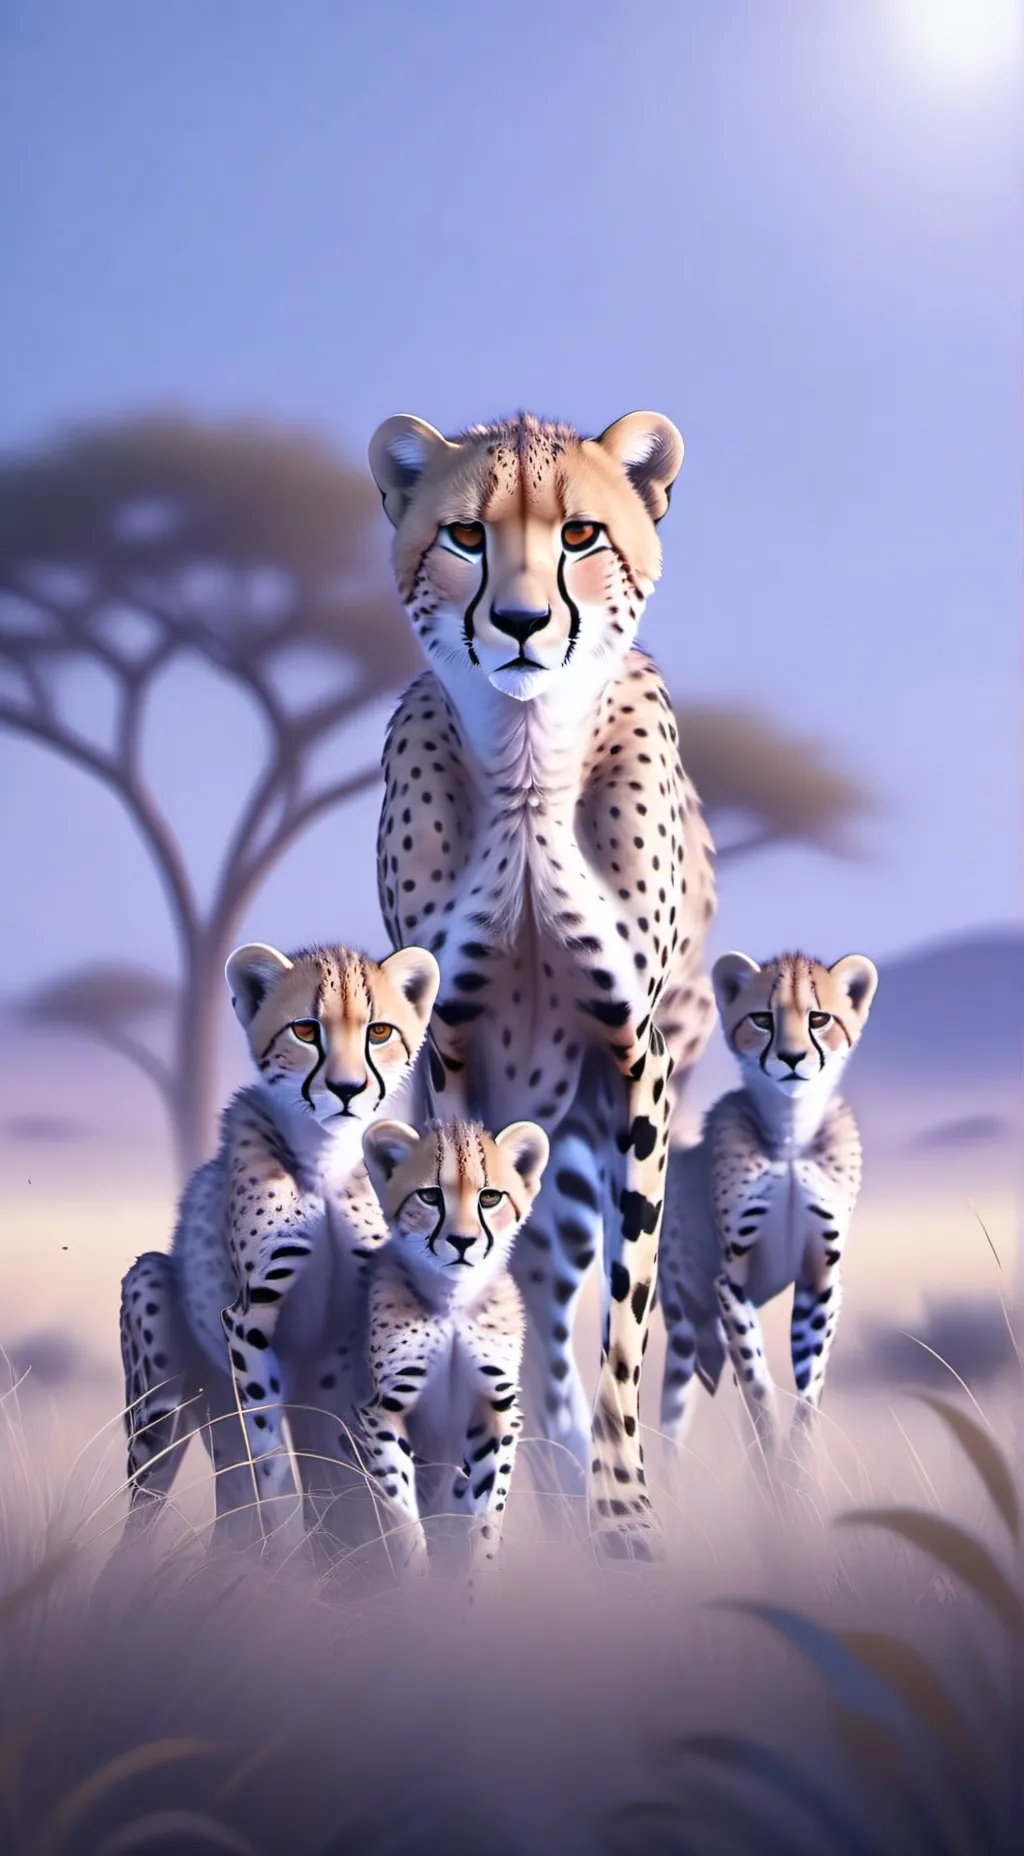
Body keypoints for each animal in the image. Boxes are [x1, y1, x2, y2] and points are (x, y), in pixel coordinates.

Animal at [118, 938, 439, 1559]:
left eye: (380, 1032)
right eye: (306, 1030)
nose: (347, 1090)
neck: (325, 1159)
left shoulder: (345, 1339)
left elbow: (346, 1462)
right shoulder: (249, 1318)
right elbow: (269, 1459)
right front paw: (289, 1557)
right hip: (161, 1383)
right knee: (149, 1500)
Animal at [358, 1115, 549, 1579]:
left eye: (490, 1197)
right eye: (429, 1195)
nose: (462, 1241)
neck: (453, 1300)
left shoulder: (497, 1411)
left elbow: (485, 1518)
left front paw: (475, 1582)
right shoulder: (382, 1410)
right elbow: (402, 1513)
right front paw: (417, 1583)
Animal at [657, 947, 878, 1470]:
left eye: (819, 1018)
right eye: (762, 1018)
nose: (792, 1058)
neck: (791, 1134)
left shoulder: (820, 1279)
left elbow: (809, 1389)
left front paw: (795, 1469)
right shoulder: (730, 1283)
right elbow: (758, 1386)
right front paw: (771, 1468)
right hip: (682, 1322)